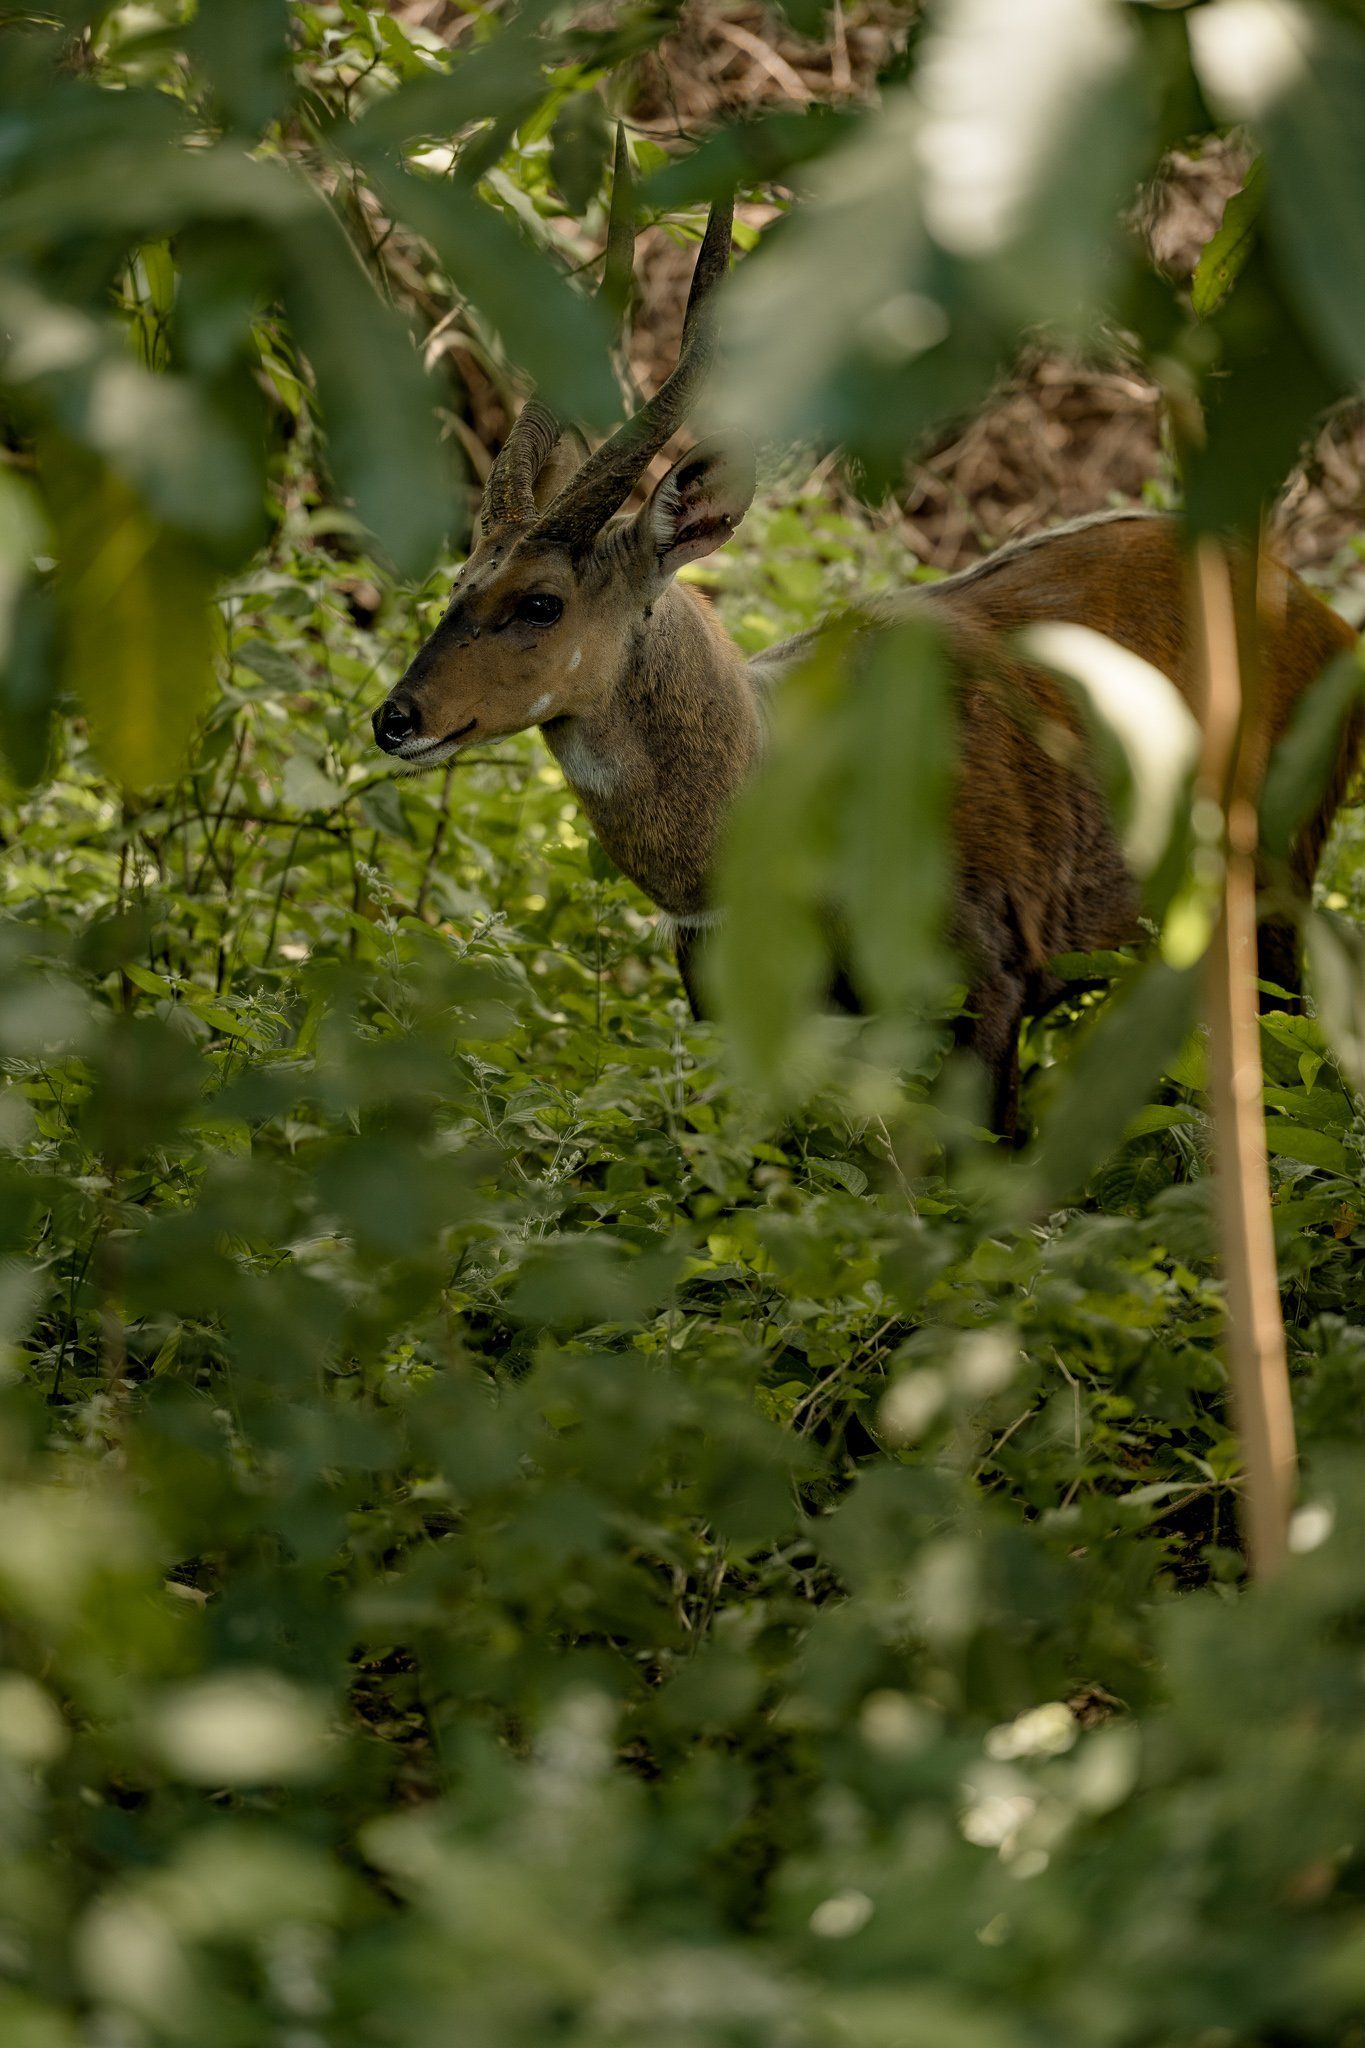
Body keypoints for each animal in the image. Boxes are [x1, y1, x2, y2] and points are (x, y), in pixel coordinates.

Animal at [372, 197, 1360, 1136]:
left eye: (541, 601)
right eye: (458, 578)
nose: (395, 719)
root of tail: (1319, 617)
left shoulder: (990, 982)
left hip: (1275, 885)